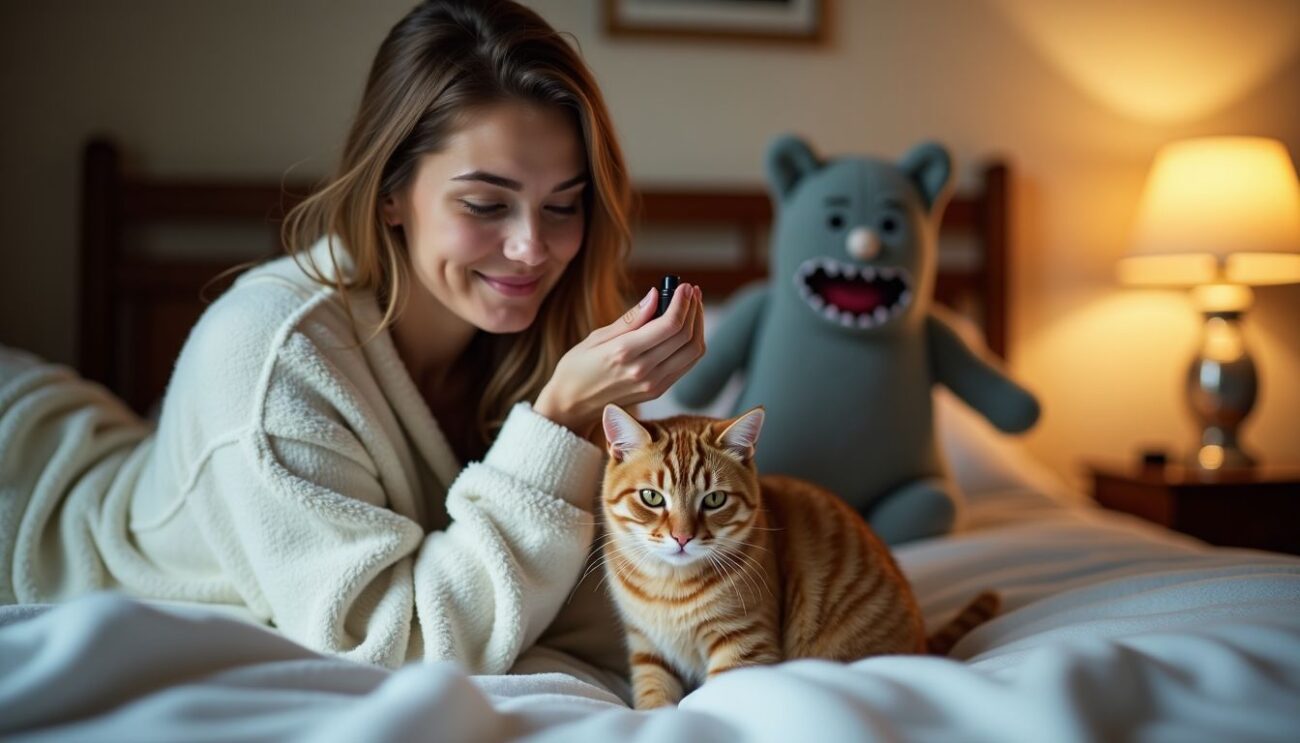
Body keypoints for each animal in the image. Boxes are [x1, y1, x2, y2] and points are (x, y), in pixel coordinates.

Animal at [598, 402, 993, 711]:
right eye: (652, 497)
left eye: (714, 500)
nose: (682, 537)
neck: (668, 587)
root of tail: (924, 642)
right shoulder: (647, 647)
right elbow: (653, 697)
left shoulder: (743, 644)